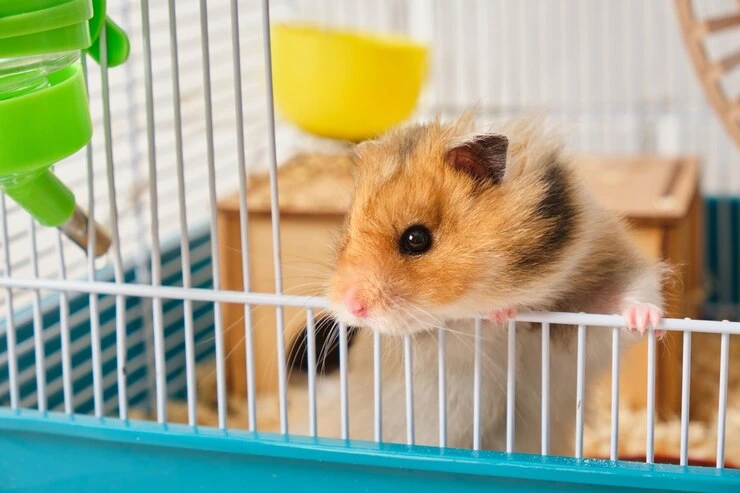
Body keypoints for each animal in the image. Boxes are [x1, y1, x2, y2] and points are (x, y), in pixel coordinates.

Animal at [285, 111, 665, 455]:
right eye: (346, 230)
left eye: (416, 239)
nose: (351, 307)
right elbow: (471, 325)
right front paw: (500, 315)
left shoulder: (603, 274)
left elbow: (630, 297)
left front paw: (649, 324)